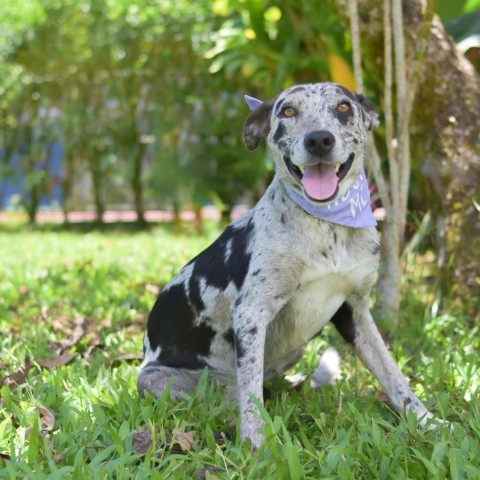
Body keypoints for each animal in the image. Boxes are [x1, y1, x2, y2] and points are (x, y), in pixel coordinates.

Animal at [137, 81, 444, 446]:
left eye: (343, 107)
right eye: (287, 111)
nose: (319, 140)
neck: (327, 224)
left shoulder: (355, 309)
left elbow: (393, 373)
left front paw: (428, 421)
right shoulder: (252, 313)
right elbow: (251, 395)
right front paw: (256, 443)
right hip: (155, 379)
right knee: (238, 392)